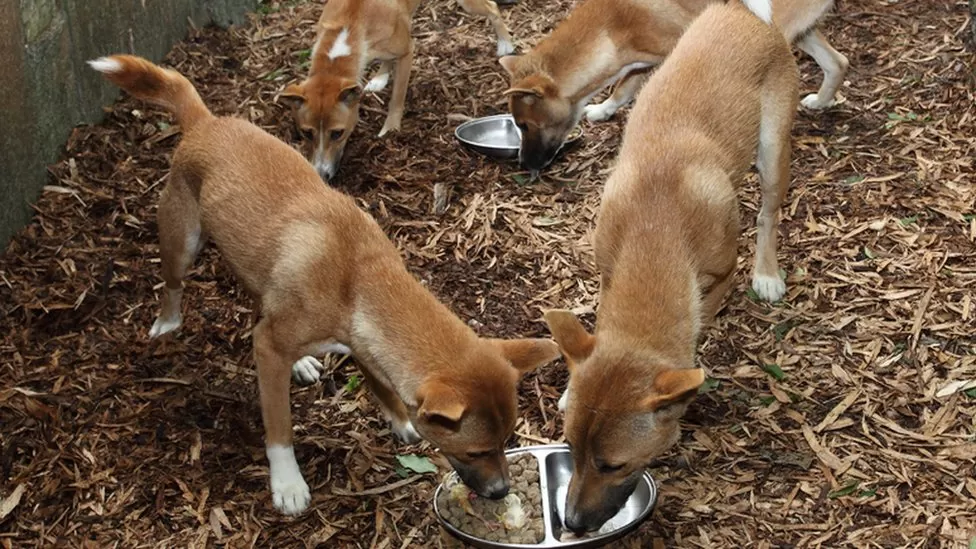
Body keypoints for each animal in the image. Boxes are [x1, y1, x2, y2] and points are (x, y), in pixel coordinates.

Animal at [91, 54, 564, 512]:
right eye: (476, 452)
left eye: (507, 441)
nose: (501, 491)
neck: (358, 277)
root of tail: (206, 120)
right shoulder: (274, 349)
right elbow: (279, 427)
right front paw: (287, 484)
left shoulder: (361, 343)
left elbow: (381, 385)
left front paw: (400, 420)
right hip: (182, 242)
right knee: (174, 287)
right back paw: (167, 324)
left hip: (255, 266)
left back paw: (298, 361)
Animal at [284, 0, 520, 180]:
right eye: (306, 133)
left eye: (337, 133)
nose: (320, 175)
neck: (350, 26)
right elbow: (387, 61)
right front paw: (380, 77)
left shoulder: (407, 52)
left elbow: (396, 99)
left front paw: (390, 130)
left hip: (469, 5)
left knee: (492, 7)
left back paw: (505, 44)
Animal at [500, 0, 844, 172]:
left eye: (525, 124)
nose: (523, 163)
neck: (610, 26)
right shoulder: (640, 60)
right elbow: (623, 87)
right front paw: (604, 109)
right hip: (801, 31)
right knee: (838, 62)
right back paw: (821, 101)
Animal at [536, 0, 796, 532]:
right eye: (569, 447)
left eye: (613, 465)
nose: (571, 522)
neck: (655, 229)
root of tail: (743, 15)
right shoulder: (608, 270)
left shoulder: (718, 277)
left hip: (772, 152)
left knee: (768, 212)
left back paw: (767, 272)